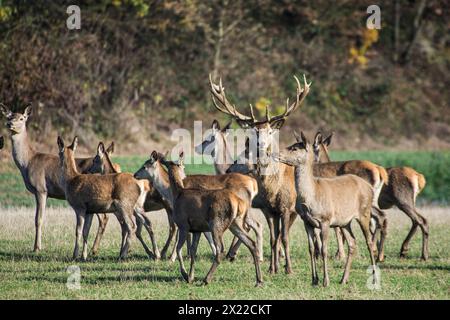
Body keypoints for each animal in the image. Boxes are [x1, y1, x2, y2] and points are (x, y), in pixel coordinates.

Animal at [0, 104, 116, 254]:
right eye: (8, 116)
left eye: (22, 118)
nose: (10, 124)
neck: (28, 162)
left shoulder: (41, 189)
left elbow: (38, 219)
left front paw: (37, 248)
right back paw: (93, 249)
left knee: (104, 217)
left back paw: (93, 250)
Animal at [209, 74, 312, 274]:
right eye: (255, 130)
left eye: (270, 131)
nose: (262, 145)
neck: (272, 189)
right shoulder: (268, 209)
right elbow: (273, 238)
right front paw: (272, 269)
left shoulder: (286, 207)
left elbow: (284, 238)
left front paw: (289, 270)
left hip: (296, 209)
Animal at [272, 131, 378, 286]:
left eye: (294, 148)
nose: (275, 153)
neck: (311, 196)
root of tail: (369, 188)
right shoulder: (306, 222)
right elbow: (311, 249)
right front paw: (314, 280)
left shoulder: (325, 220)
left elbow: (324, 250)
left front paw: (325, 281)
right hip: (345, 221)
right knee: (352, 243)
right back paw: (343, 279)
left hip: (364, 212)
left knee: (369, 241)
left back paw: (374, 278)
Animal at [312, 131, 428, 260]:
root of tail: (420, 178)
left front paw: (336, 255)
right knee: (416, 220)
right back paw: (402, 251)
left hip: (401, 200)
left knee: (418, 220)